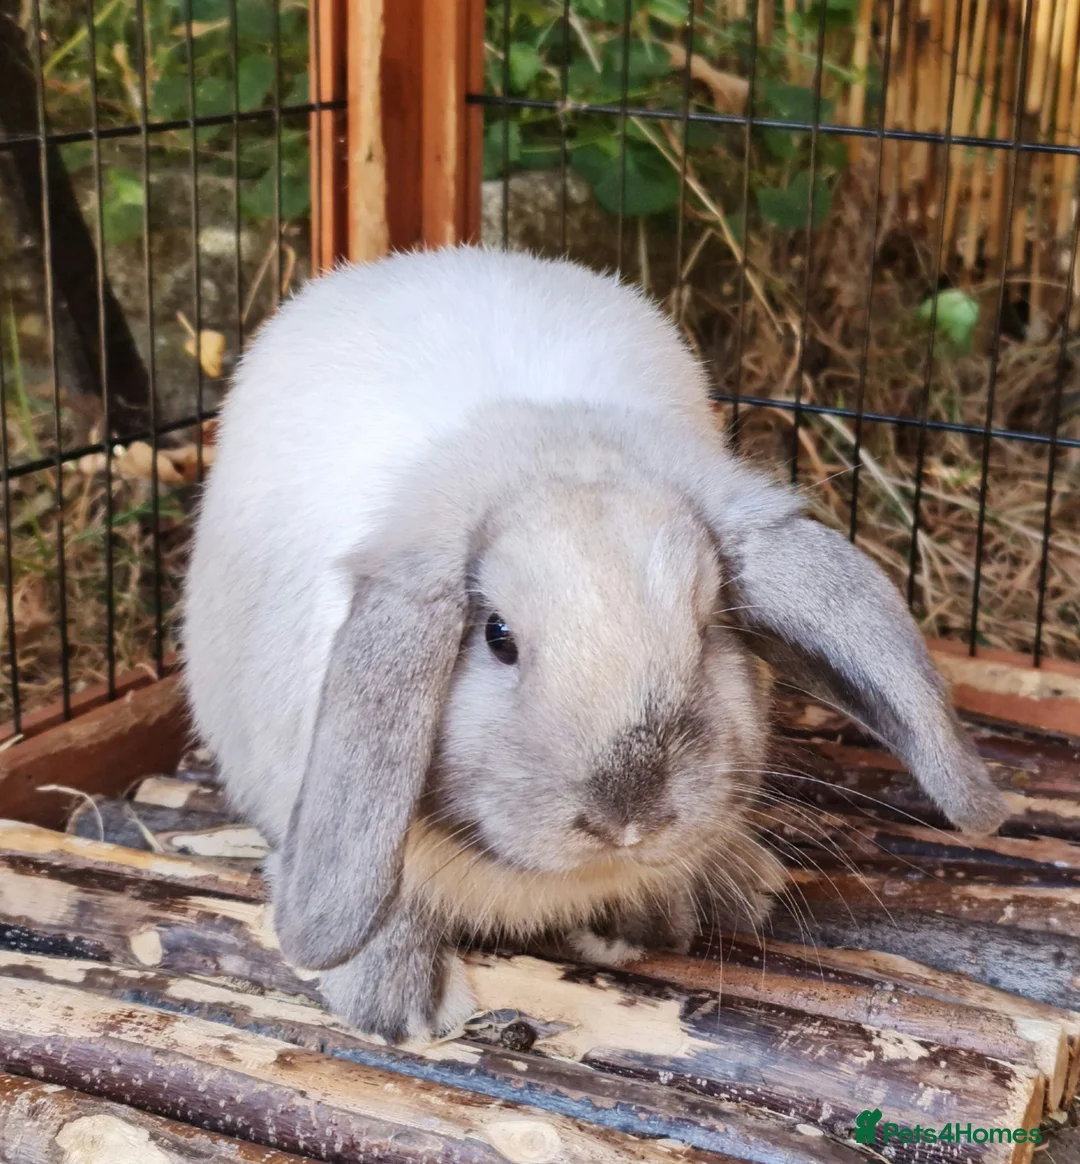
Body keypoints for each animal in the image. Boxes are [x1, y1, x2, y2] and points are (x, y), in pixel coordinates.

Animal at [183, 246, 1007, 1046]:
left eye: (709, 626)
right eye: (498, 637)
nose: (627, 818)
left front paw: (650, 919)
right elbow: (394, 911)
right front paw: (398, 1009)